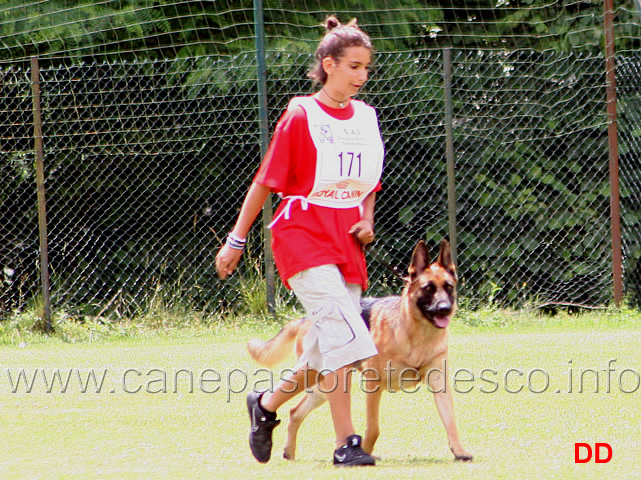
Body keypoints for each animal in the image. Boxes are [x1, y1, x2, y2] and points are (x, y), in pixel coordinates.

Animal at [245, 240, 470, 462]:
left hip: (322, 388)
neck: (416, 335)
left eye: (449, 287)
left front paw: (459, 451)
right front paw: (365, 452)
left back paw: (289, 452)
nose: (445, 309)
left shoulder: (439, 383)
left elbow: (451, 421)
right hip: (319, 376)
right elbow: (373, 427)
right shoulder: (373, 384)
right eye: (428, 288)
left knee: (295, 412)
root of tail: (306, 319)